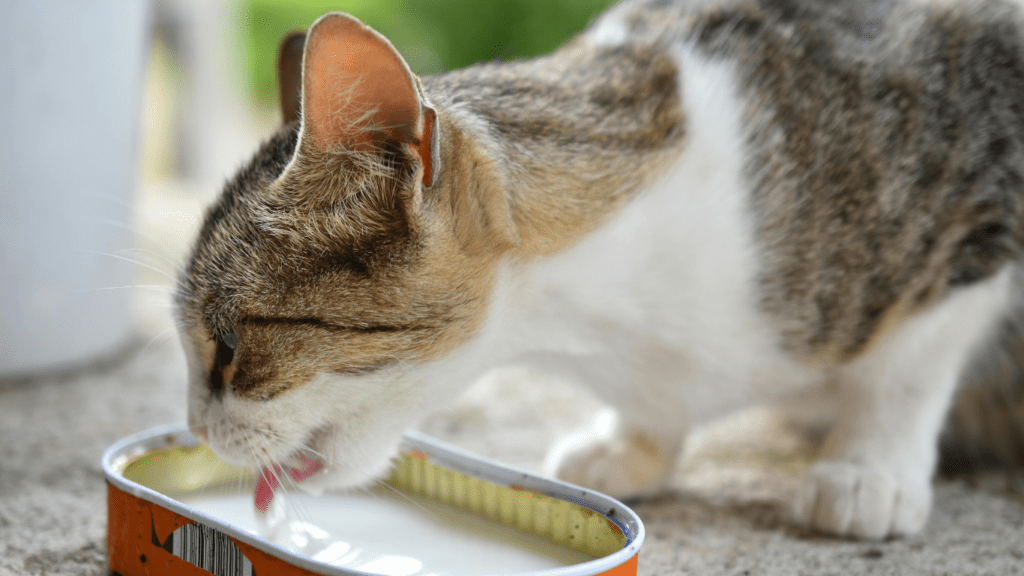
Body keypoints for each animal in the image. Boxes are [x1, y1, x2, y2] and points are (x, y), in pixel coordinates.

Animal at [176, 0, 1024, 537]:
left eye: (231, 347)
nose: (193, 427)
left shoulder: (981, 216)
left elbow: (910, 363)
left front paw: (867, 466)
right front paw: (636, 440)